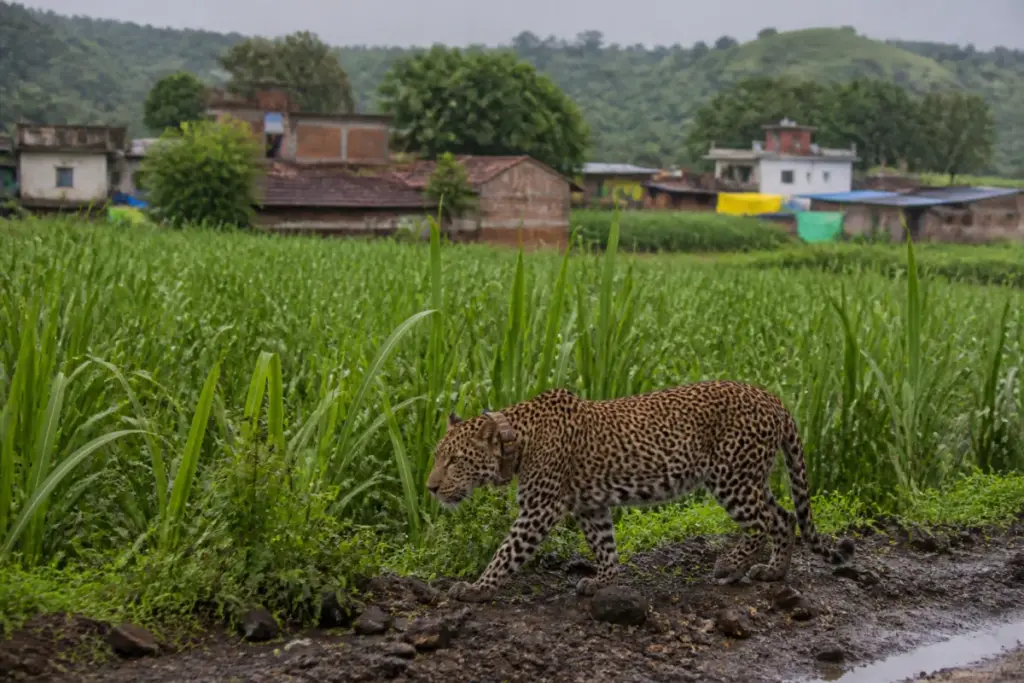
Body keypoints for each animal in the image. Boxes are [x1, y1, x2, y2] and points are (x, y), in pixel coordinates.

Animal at [426, 380, 856, 603]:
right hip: (751, 477)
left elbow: (506, 552)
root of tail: (774, 399)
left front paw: (477, 588)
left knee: (765, 523)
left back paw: (730, 565)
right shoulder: (591, 507)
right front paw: (603, 582)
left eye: (455, 461)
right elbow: (605, 547)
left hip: (731, 478)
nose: (430, 488)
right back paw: (773, 571)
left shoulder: (539, 509)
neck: (517, 440)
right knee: (785, 517)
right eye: (437, 458)